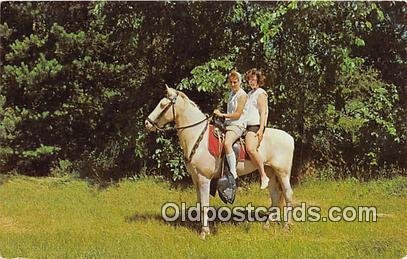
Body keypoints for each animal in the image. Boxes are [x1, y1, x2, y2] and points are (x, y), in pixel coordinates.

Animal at [145, 86, 294, 239]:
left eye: (163, 105)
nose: (147, 123)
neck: (198, 137)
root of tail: (290, 138)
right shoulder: (195, 179)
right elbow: (199, 203)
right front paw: (199, 227)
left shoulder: (204, 179)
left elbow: (204, 205)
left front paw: (204, 232)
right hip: (270, 171)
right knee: (275, 195)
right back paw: (267, 225)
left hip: (283, 173)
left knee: (287, 194)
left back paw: (287, 227)